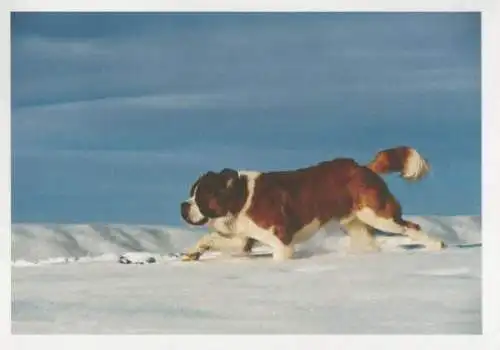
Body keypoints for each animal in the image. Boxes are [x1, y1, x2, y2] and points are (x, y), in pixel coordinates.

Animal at [178, 146, 444, 262]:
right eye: (191, 193)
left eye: (200, 197)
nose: (183, 205)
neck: (239, 196)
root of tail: (362, 167)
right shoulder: (244, 239)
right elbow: (211, 239)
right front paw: (193, 252)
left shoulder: (282, 241)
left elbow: (280, 256)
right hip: (355, 223)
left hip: (377, 214)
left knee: (411, 227)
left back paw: (437, 246)